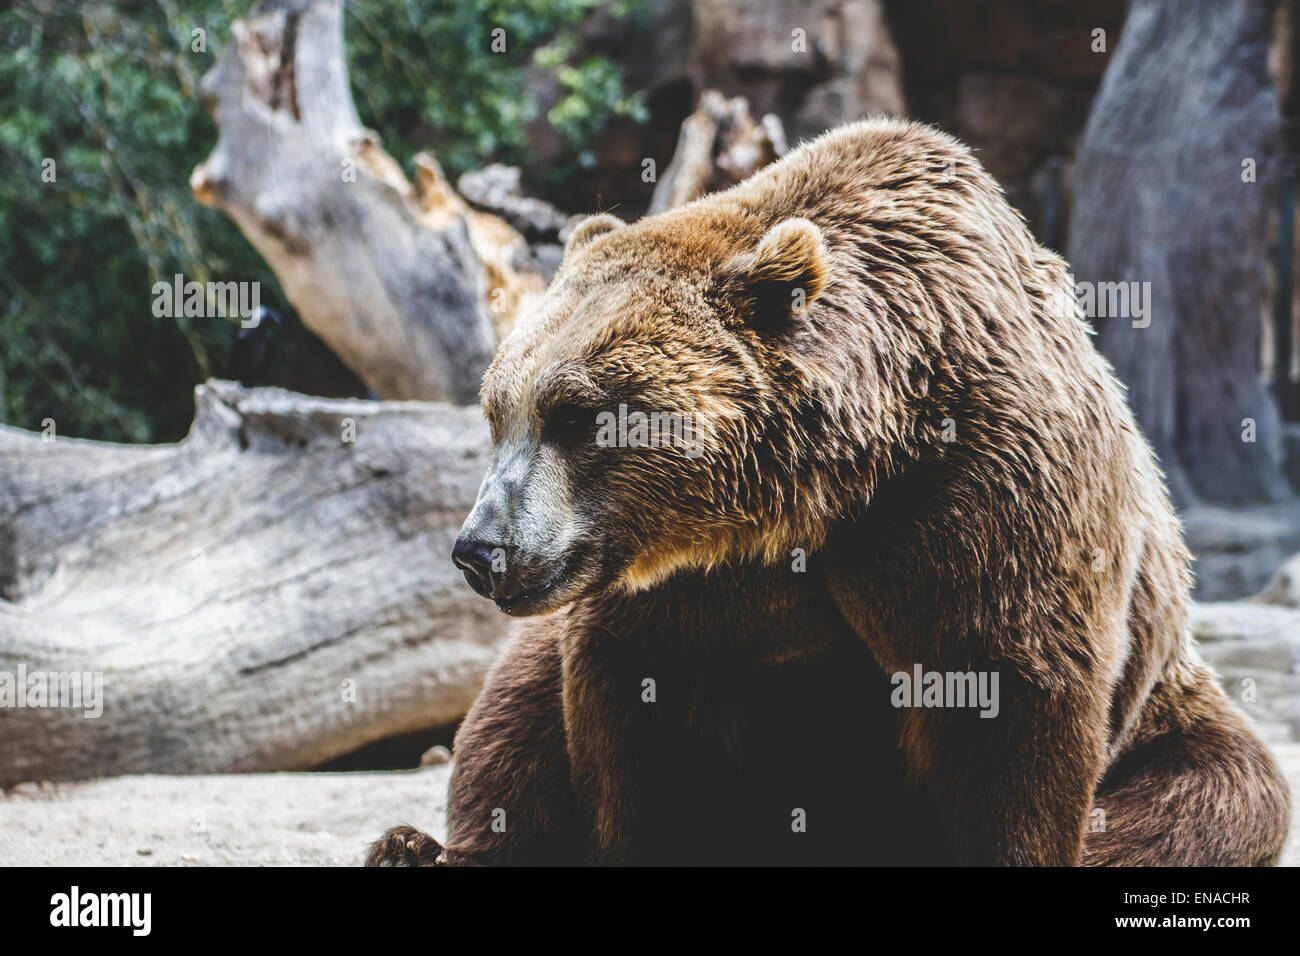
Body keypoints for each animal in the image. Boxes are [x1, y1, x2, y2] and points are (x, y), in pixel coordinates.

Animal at [366, 117, 1289, 868]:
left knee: (1216, 799)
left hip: (1169, 713)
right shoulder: (685, 594)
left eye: (578, 415)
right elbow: (634, 726)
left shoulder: (979, 502)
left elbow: (1011, 711)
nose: (481, 550)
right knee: (510, 713)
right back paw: (411, 846)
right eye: (498, 412)